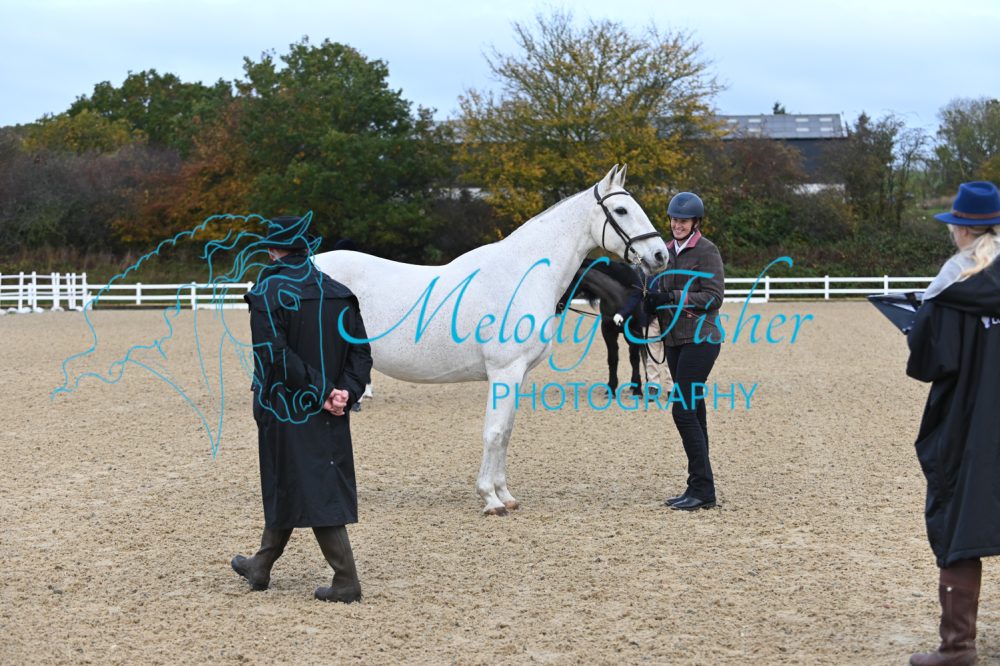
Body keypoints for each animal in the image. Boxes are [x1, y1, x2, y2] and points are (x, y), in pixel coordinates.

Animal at [557, 260, 648, 397]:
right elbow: (612, 360)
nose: (557, 306)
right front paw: (611, 388)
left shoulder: (634, 332)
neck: (620, 298)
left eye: (565, 282)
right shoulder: (607, 332)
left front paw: (638, 390)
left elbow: (634, 359)